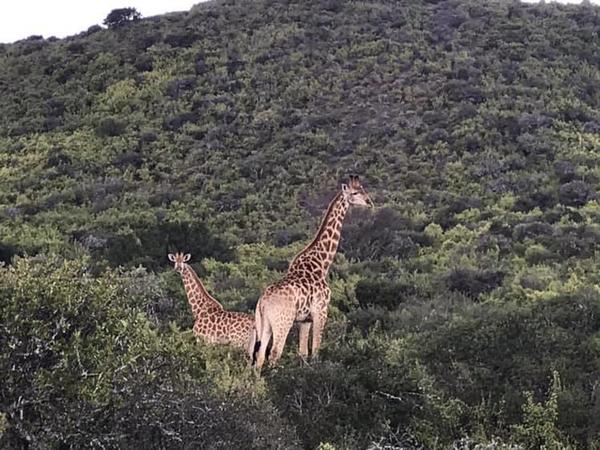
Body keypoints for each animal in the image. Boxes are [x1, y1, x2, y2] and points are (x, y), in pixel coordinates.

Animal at [252, 176, 372, 370]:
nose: (369, 202)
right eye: (355, 192)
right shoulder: (321, 311)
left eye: (363, 189)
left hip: (264, 325)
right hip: (283, 323)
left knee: (260, 356)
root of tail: (263, 302)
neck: (322, 263)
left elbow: (302, 353)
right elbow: (315, 350)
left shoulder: (305, 319)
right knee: (275, 354)